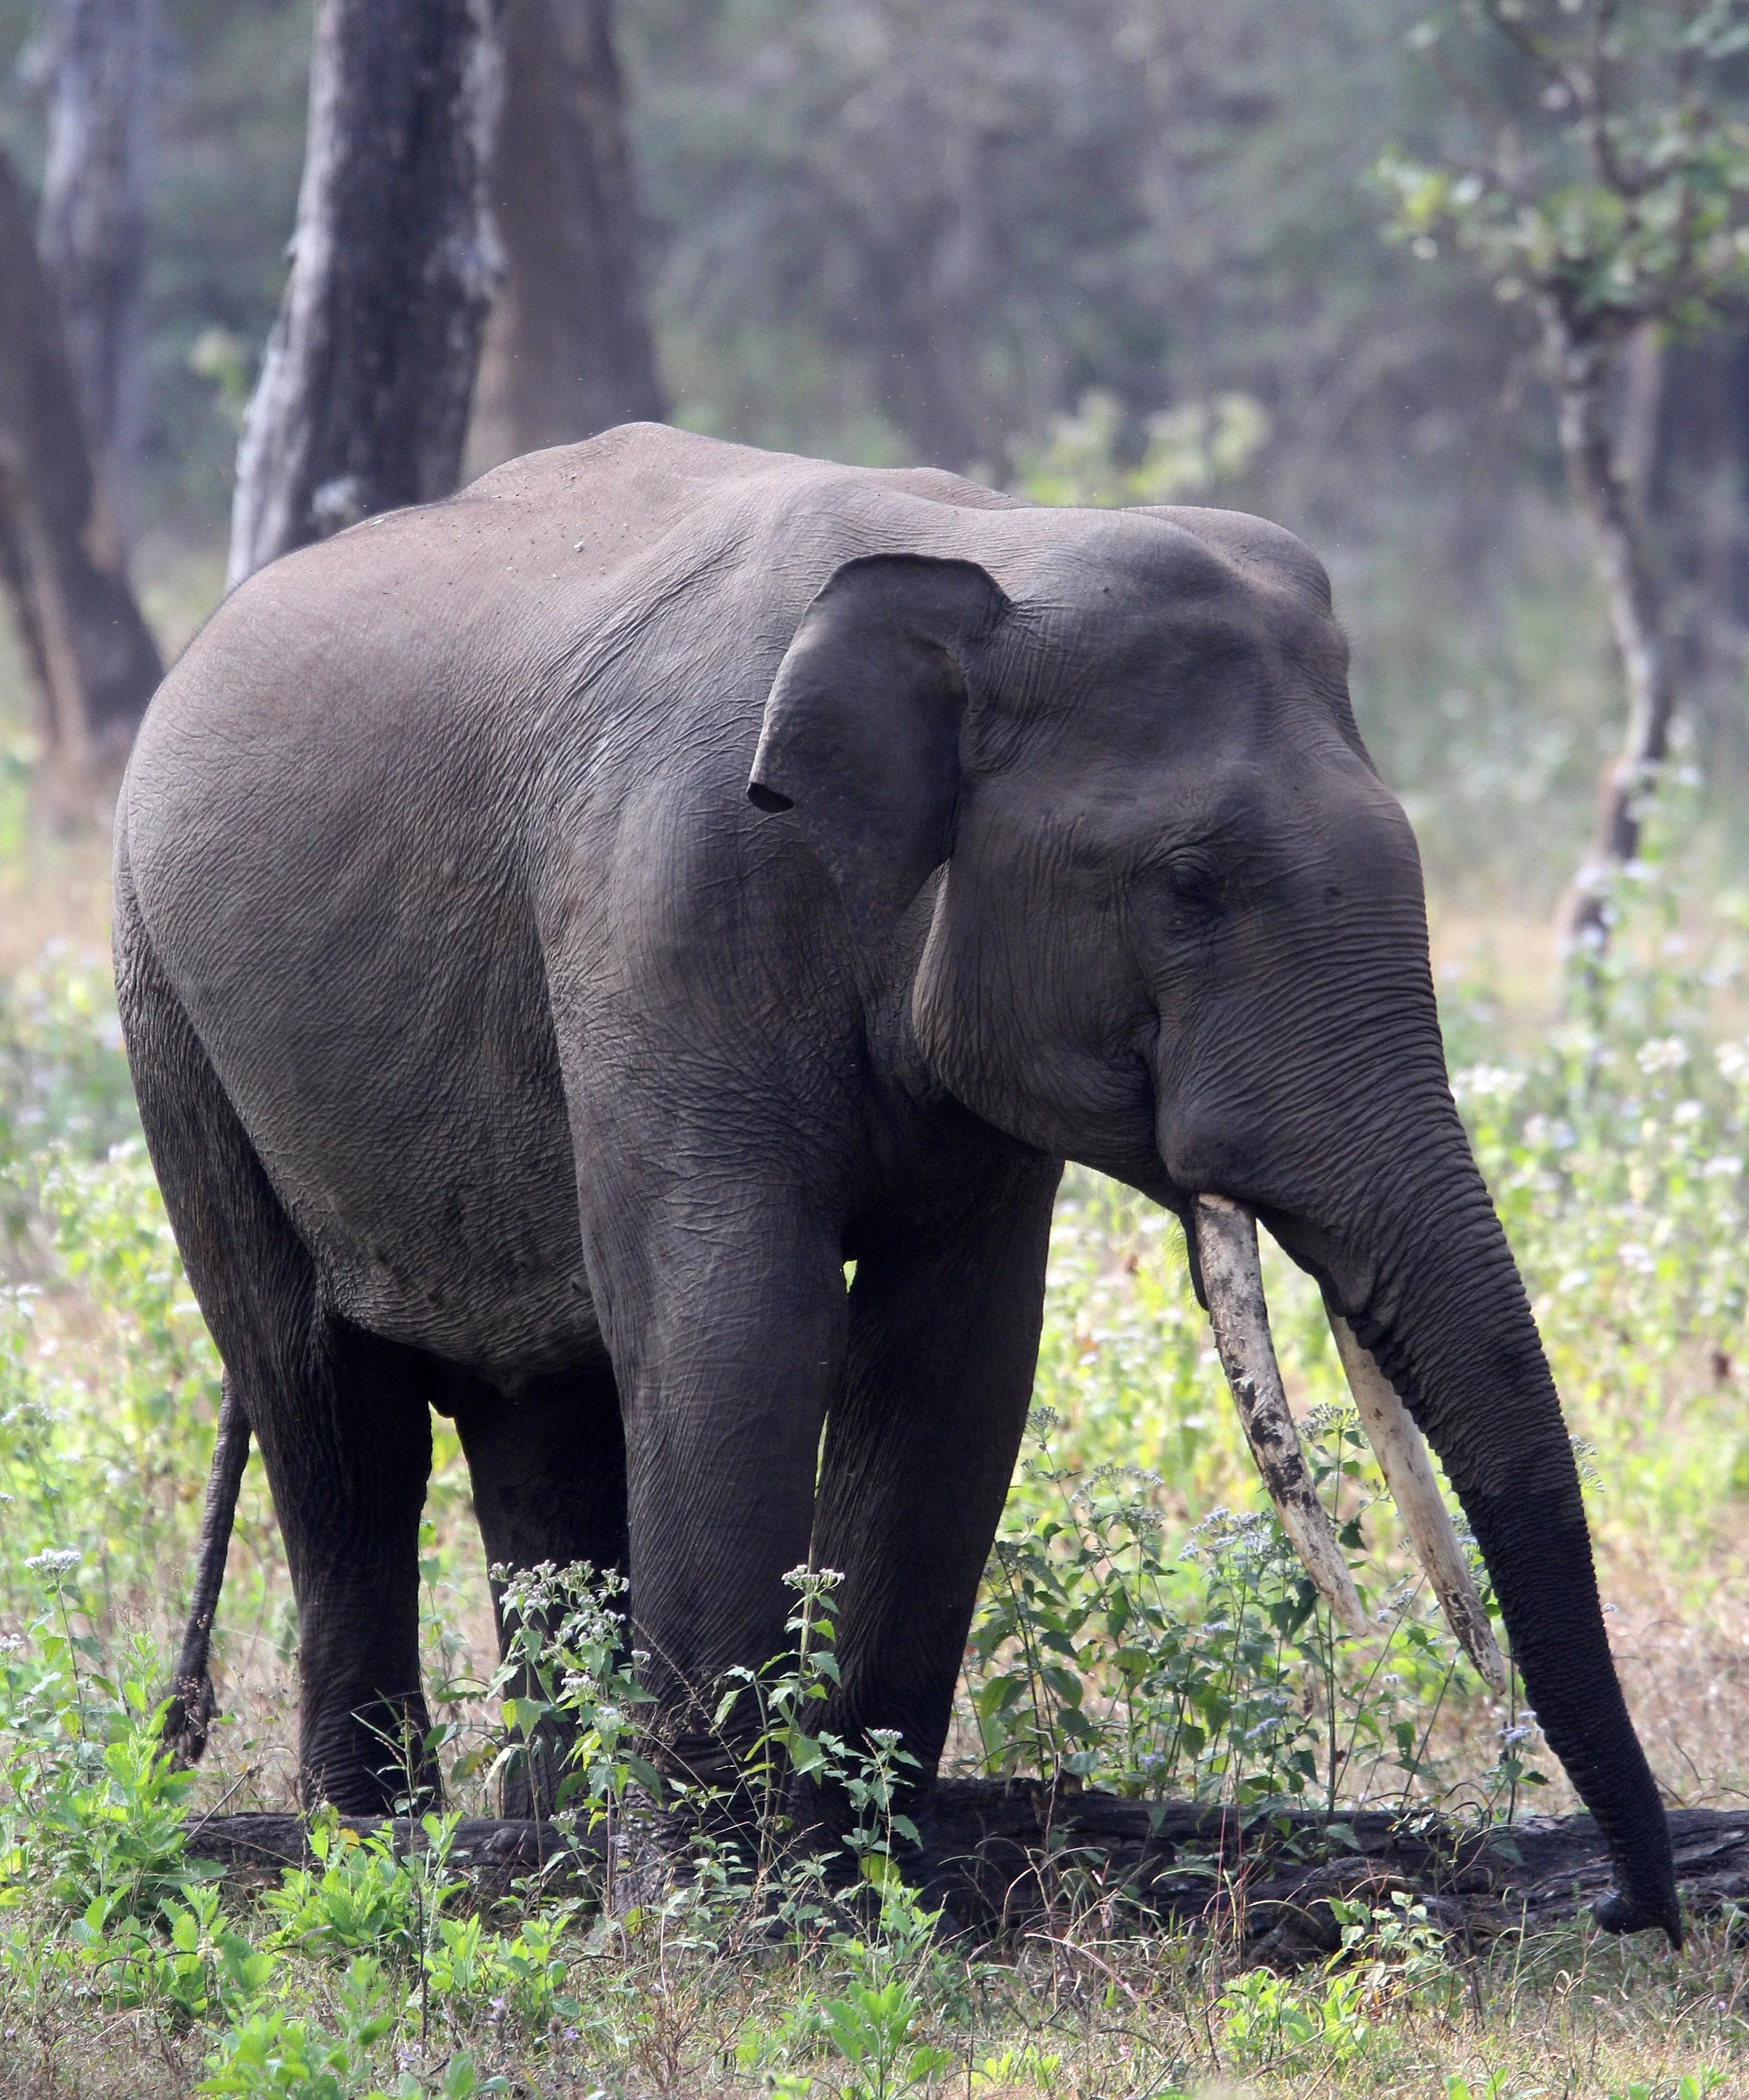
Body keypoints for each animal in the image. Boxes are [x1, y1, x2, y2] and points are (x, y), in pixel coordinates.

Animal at [113, 421, 1679, 1942]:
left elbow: (954, 1363)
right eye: (1186, 885)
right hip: (173, 1014)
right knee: (331, 1416)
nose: (1623, 1912)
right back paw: (379, 1853)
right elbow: (737, 1329)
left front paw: (865, 1892)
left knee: (534, 1423)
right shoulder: (664, 915)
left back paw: (542, 1850)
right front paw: (717, 1926)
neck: (994, 558)